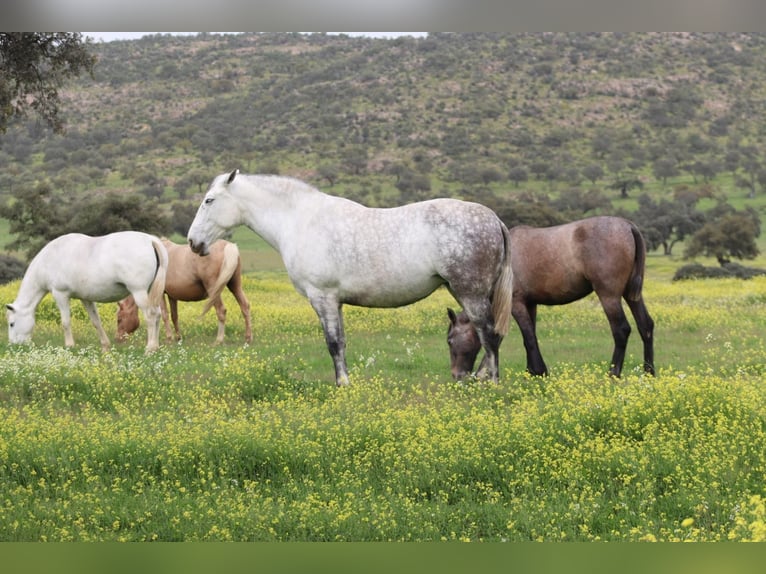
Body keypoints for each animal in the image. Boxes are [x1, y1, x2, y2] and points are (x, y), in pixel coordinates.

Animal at [6, 231, 168, 353]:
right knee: (158, 314)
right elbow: (96, 321)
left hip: (139, 292)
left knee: (150, 315)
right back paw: (156, 347)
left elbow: (65, 322)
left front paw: (69, 345)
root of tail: (151, 240)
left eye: (12, 324)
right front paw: (105, 347)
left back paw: (150, 348)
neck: (49, 260)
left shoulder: (60, 294)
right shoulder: (86, 299)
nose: (14, 346)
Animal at [116, 238, 252, 344]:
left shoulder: (160, 294)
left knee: (221, 311)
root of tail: (228, 246)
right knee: (244, 306)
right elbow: (174, 316)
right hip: (235, 286)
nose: (118, 339)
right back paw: (248, 338)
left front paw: (169, 338)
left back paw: (219, 340)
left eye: (119, 319)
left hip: (214, 290)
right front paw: (178, 338)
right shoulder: (172, 296)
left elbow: (164, 315)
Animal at [187, 169, 513, 386]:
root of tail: (494, 220)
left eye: (209, 200)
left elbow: (333, 343)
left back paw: (492, 382)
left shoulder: (323, 297)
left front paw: (342, 384)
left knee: (489, 334)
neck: (300, 220)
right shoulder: (336, 301)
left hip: (469, 292)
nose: (193, 242)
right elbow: (341, 342)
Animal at [447, 216, 655, 378]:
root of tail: (628, 226)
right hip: (631, 295)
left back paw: (613, 373)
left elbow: (526, 337)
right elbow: (529, 336)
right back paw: (649, 372)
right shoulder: (530, 304)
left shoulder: (516, 304)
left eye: (449, 340)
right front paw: (530, 371)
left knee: (621, 330)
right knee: (645, 326)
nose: (456, 375)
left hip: (609, 296)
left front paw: (538, 371)